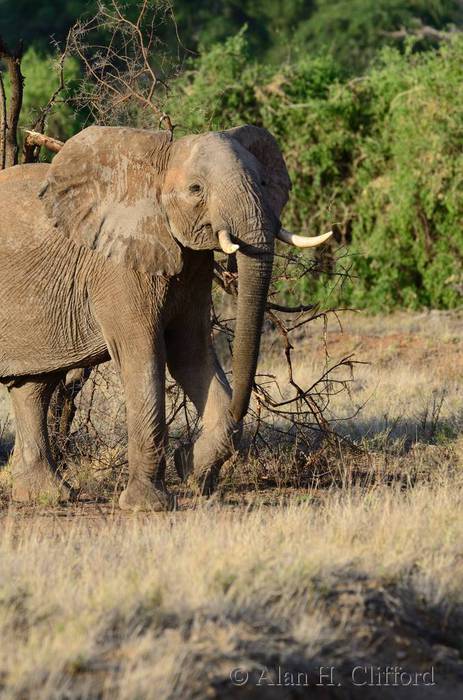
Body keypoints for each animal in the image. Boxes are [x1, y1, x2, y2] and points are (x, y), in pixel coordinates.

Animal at [0, 124, 331, 510]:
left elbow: (191, 351)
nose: (185, 455)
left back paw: (48, 496)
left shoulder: (192, 265)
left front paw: (193, 472)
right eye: (196, 189)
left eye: (263, 183)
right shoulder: (116, 264)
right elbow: (144, 355)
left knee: (33, 388)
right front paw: (150, 505)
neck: (155, 166)